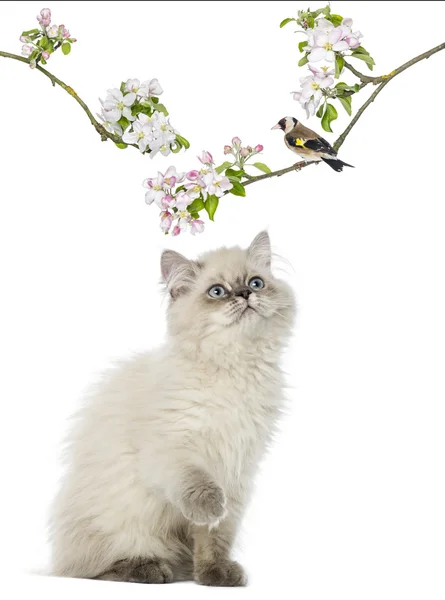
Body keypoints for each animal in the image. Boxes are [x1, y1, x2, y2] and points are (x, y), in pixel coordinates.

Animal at [49, 231, 294, 584]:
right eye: (217, 292)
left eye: (256, 283)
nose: (245, 294)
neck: (234, 367)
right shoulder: (174, 449)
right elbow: (198, 486)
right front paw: (209, 509)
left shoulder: (236, 468)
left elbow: (215, 537)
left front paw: (215, 575)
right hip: (126, 519)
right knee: (96, 568)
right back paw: (148, 569)